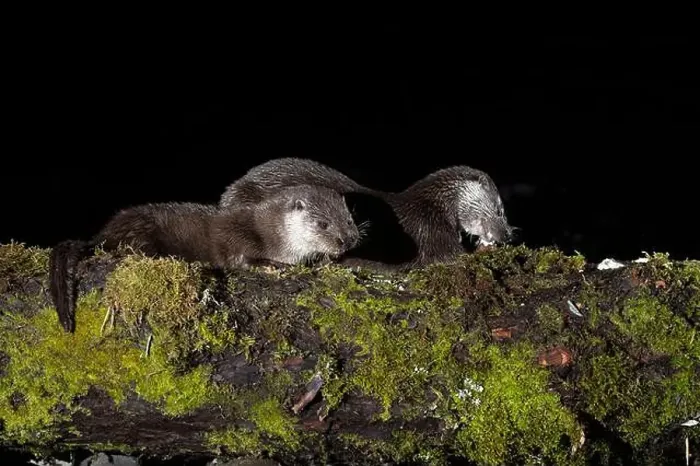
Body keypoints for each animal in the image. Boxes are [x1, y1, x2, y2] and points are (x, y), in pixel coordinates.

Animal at [50, 185, 360, 333]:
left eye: (349, 219)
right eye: (322, 224)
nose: (347, 240)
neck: (271, 232)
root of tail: (105, 233)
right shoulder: (240, 237)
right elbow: (242, 259)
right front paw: (273, 265)